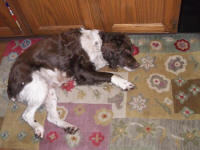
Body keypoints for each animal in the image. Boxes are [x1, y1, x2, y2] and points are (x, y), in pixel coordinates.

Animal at [7, 27, 140, 138]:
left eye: (131, 50)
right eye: (125, 51)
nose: (138, 65)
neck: (98, 44)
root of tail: (10, 87)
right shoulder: (82, 72)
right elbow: (110, 74)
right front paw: (124, 83)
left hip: (49, 92)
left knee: (51, 117)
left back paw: (68, 126)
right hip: (39, 87)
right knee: (27, 115)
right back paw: (38, 128)